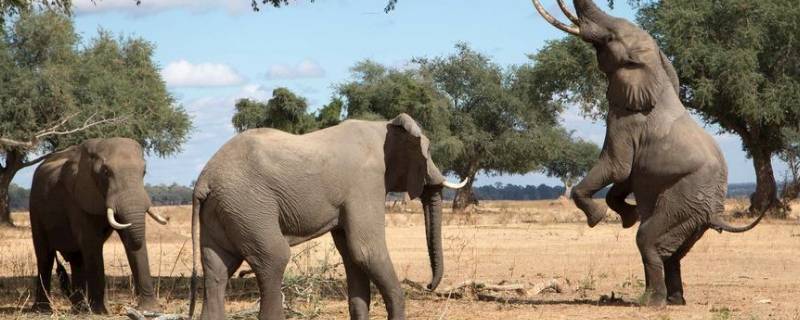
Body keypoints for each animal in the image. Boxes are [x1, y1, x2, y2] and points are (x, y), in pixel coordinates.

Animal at [29, 137, 169, 312]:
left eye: (143, 172)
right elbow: (91, 242)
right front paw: (101, 311)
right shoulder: (78, 197)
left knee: (77, 259)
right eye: (106, 172)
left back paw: (79, 309)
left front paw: (150, 310)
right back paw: (43, 310)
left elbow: (128, 238)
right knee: (44, 256)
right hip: (35, 207)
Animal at [188, 114, 468, 318]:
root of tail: (204, 179)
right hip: (248, 206)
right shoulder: (365, 183)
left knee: (217, 269)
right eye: (428, 151)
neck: (383, 126)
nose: (429, 286)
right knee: (274, 259)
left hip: (225, 210)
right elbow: (366, 251)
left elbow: (353, 257)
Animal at [532, 0, 768, 308]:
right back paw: (674, 301)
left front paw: (598, 217)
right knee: (673, 252)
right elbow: (627, 177)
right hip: (692, 215)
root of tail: (716, 213)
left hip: (684, 201)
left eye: (609, 38)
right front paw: (628, 215)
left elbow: (617, 166)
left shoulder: (625, 118)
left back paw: (650, 302)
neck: (656, 67)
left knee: (647, 239)